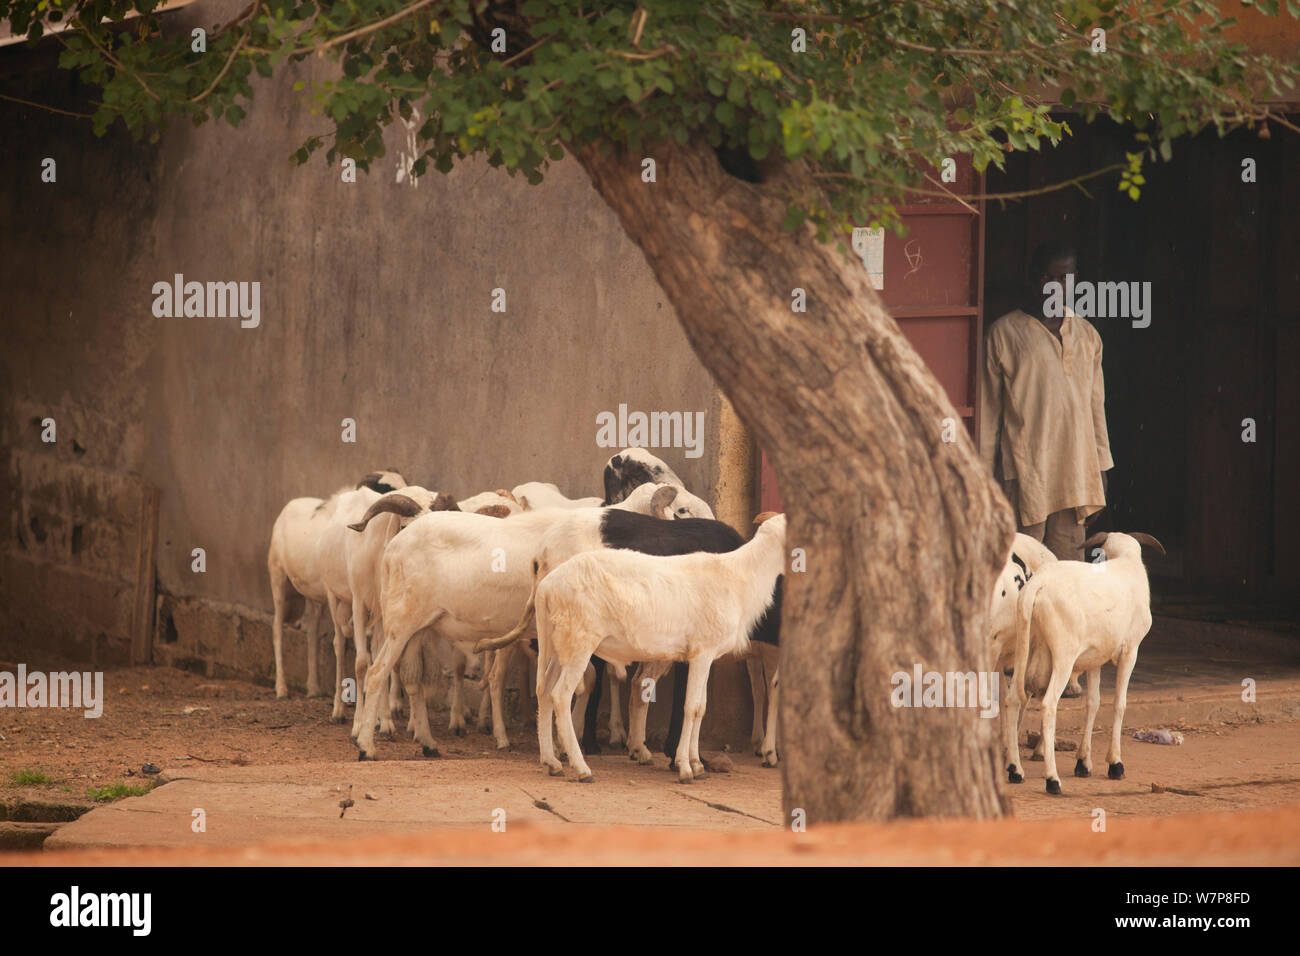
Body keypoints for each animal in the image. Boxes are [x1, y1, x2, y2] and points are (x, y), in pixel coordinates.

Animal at [535, 512, 785, 780]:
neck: (741, 576)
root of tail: (546, 587)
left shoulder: (705, 656)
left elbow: (701, 708)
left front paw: (697, 764)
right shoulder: (701, 652)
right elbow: (691, 707)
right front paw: (685, 767)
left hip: (558, 642)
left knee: (544, 691)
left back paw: (551, 761)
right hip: (579, 641)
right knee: (560, 695)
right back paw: (581, 767)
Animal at [1003, 530, 1170, 790]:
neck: (1125, 562)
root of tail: (1037, 586)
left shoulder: (1095, 660)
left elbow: (1093, 703)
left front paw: (1083, 763)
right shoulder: (1130, 651)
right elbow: (1119, 704)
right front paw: (1115, 764)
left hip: (1023, 650)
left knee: (1012, 701)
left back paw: (1015, 770)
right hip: (1063, 656)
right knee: (1049, 704)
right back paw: (1052, 779)